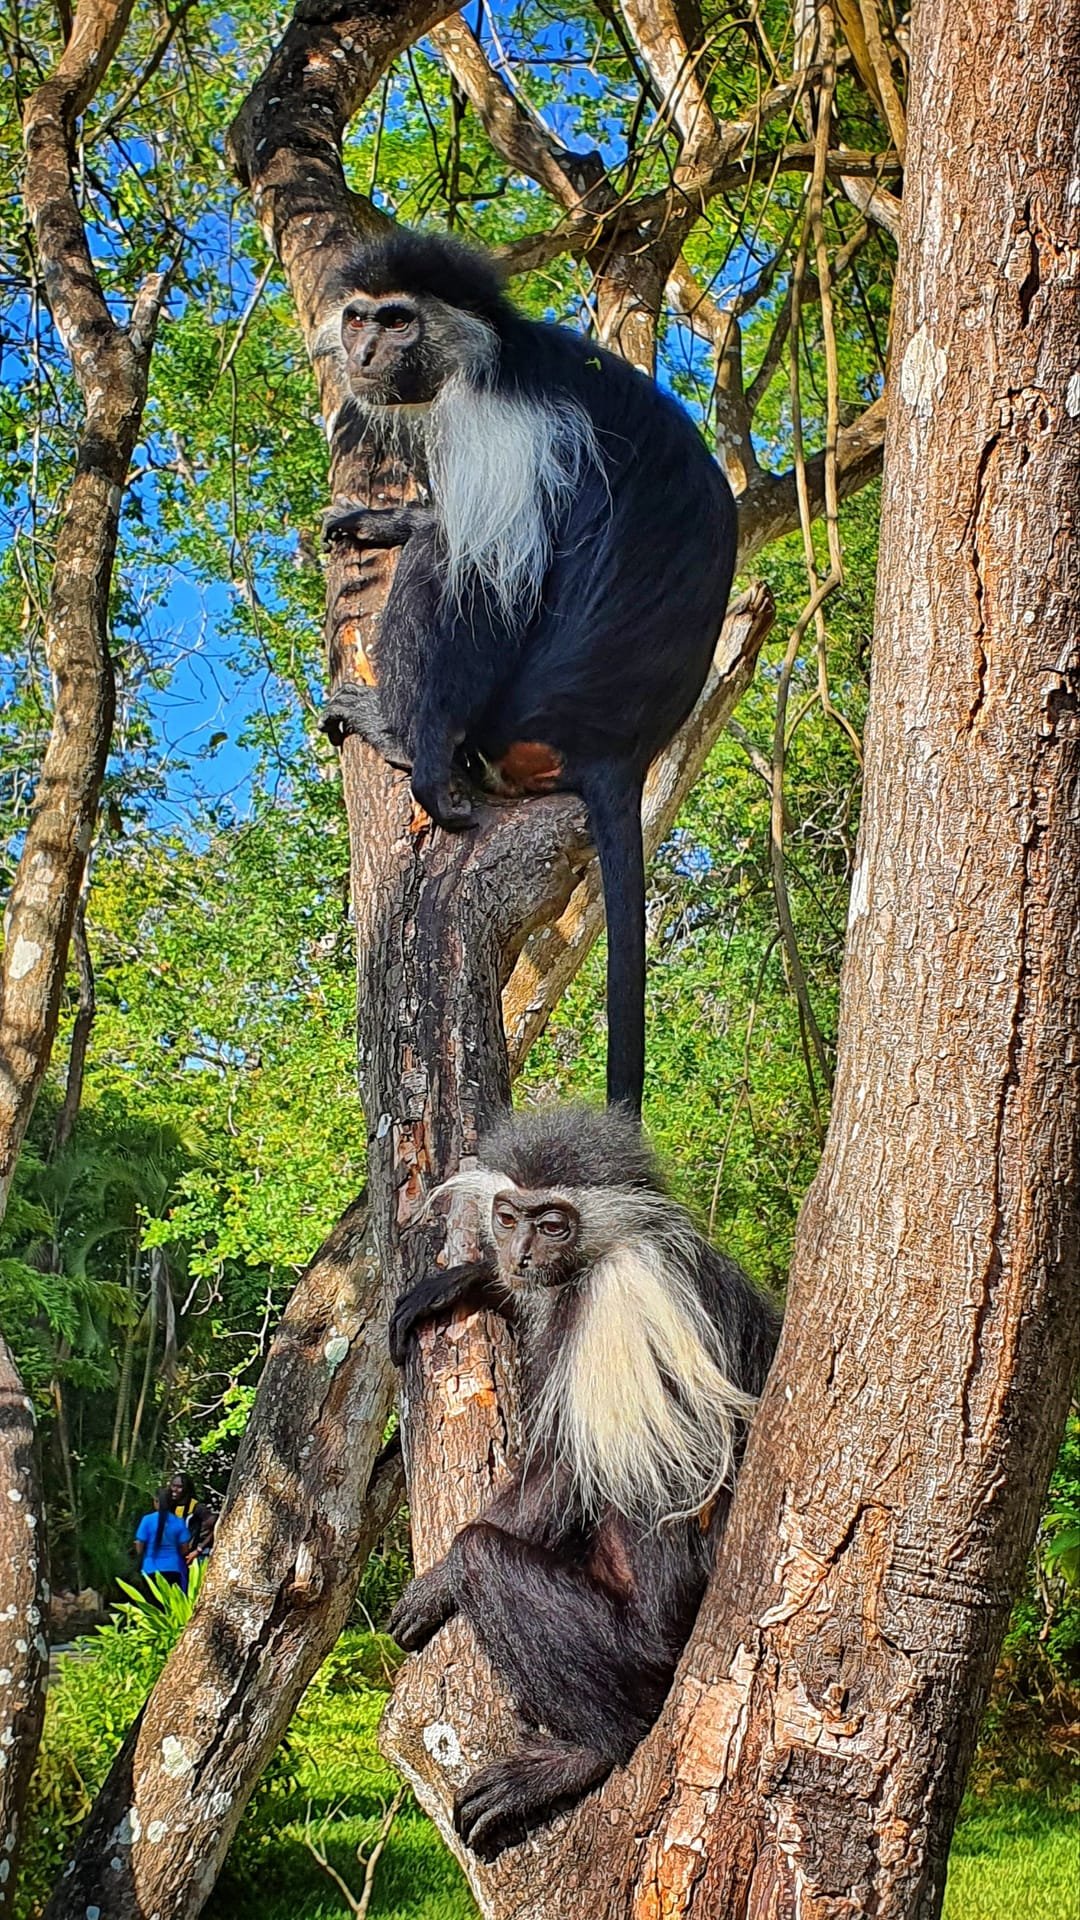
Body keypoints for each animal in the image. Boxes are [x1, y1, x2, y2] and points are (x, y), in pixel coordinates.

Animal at [315, 230, 738, 1115]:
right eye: (360, 316)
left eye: (398, 321)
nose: (364, 351)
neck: (489, 352)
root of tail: (617, 751)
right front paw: (381, 518)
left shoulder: (496, 426)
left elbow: (486, 591)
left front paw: (424, 762)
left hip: (514, 715)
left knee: (453, 569)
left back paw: (398, 734)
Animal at [386, 1105, 780, 1858]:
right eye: (509, 1217)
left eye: (554, 1224)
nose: (520, 1257)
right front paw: (472, 1280)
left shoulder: (618, 1306)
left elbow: (569, 1470)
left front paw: (435, 1586)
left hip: (639, 1647)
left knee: (492, 1557)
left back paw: (584, 1753)